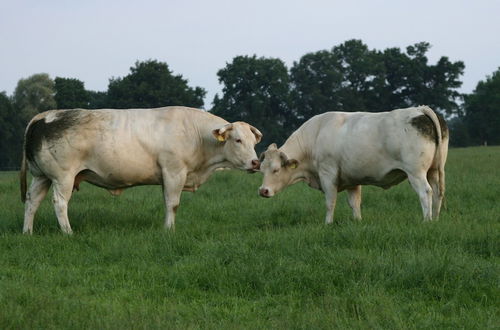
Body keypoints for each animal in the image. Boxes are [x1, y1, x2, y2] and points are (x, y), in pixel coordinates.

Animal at [19, 107, 262, 233]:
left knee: (32, 201)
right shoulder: (174, 172)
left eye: (253, 142)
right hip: (63, 176)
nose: (255, 163)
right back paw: (68, 232)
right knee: (60, 203)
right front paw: (169, 230)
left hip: (41, 176)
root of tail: (46, 115)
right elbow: (172, 204)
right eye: (238, 140)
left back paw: (27, 232)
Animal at [258, 105, 450, 224]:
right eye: (261, 169)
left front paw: (327, 223)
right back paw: (436, 219)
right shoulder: (352, 179)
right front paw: (357, 221)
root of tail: (419, 109)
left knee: (425, 192)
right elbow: (354, 203)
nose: (263, 191)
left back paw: (426, 220)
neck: (316, 134)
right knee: (437, 192)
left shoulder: (328, 174)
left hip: (416, 172)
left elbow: (330, 202)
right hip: (434, 170)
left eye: (276, 170)